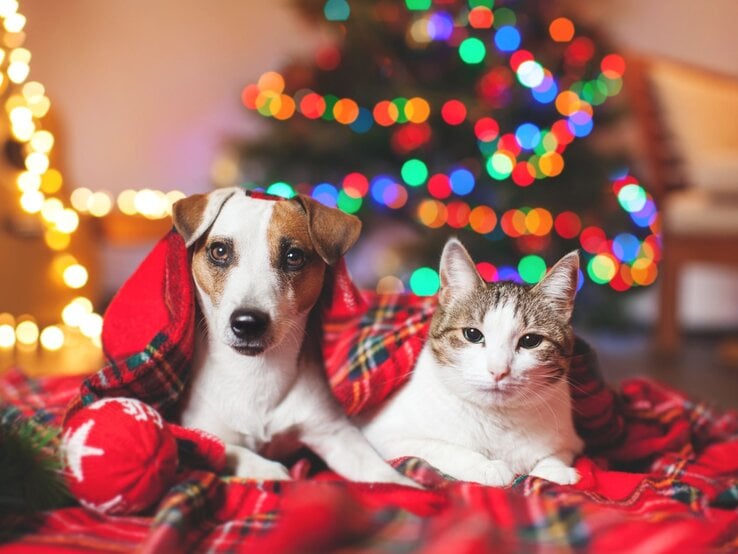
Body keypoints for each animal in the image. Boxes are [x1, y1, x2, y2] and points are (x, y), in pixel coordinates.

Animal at [172, 187, 414, 484]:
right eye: (219, 251)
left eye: (293, 256)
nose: (248, 322)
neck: (255, 373)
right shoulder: (199, 429)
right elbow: (224, 448)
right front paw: (267, 469)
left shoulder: (334, 433)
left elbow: (380, 472)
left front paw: (409, 485)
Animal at [360, 237, 584, 484]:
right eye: (473, 334)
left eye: (530, 340)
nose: (498, 371)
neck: (497, 421)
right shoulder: (384, 436)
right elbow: (440, 448)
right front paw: (486, 466)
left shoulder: (571, 441)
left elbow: (556, 454)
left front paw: (554, 469)